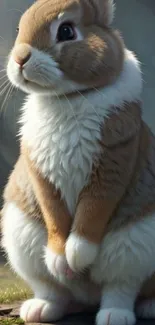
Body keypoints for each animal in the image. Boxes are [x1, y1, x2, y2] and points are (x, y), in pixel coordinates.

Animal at [1, 0, 155, 322]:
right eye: (20, 27)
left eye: (66, 31)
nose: (20, 58)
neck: (68, 97)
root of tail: (88, 294)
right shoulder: (40, 174)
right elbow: (54, 214)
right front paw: (62, 258)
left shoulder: (112, 163)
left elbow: (93, 212)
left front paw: (77, 256)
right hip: (21, 235)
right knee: (52, 287)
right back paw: (39, 309)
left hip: (135, 244)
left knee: (122, 287)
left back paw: (120, 314)